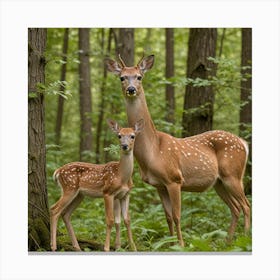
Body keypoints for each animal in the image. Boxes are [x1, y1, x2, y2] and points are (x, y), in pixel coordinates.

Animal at [49, 118, 144, 252]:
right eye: (119, 136)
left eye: (132, 136)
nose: (124, 146)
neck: (121, 176)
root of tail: (57, 171)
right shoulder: (108, 192)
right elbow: (110, 220)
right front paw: (107, 247)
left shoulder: (124, 195)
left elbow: (125, 220)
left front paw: (131, 248)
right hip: (69, 188)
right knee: (54, 209)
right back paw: (53, 246)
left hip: (79, 195)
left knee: (65, 214)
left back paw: (77, 247)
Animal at [106, 53, 250, 246]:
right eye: (122, 77)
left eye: (139, 77)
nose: (131, 89)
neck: (153, 151)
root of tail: (243, 142)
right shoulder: (159, 185)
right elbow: (167, 217)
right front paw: (171, 244)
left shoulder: (175, 179)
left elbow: (177, 215)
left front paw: (181, 244)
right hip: (219, 182)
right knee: (235, 208)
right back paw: (228, 242)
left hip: (233, 175)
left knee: (246, 205)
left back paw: (245, 238)